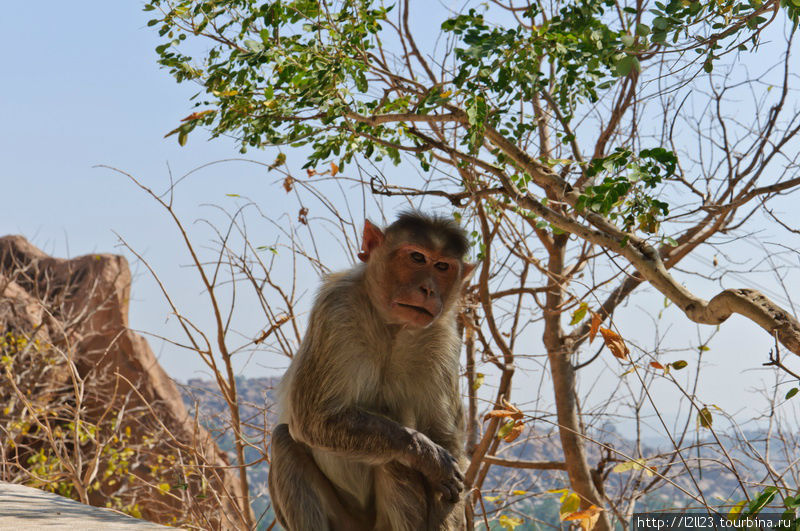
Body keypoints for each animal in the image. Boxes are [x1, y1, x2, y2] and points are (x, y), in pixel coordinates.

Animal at [268, 213, 476, 531]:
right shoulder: (337, 307)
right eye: (417, 257)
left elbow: (445, 438)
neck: (392, 328)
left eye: (442, 267)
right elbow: (313, 418)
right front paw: (428, 455)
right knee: (285, 441)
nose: (428, 289)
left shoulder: (442, 338)